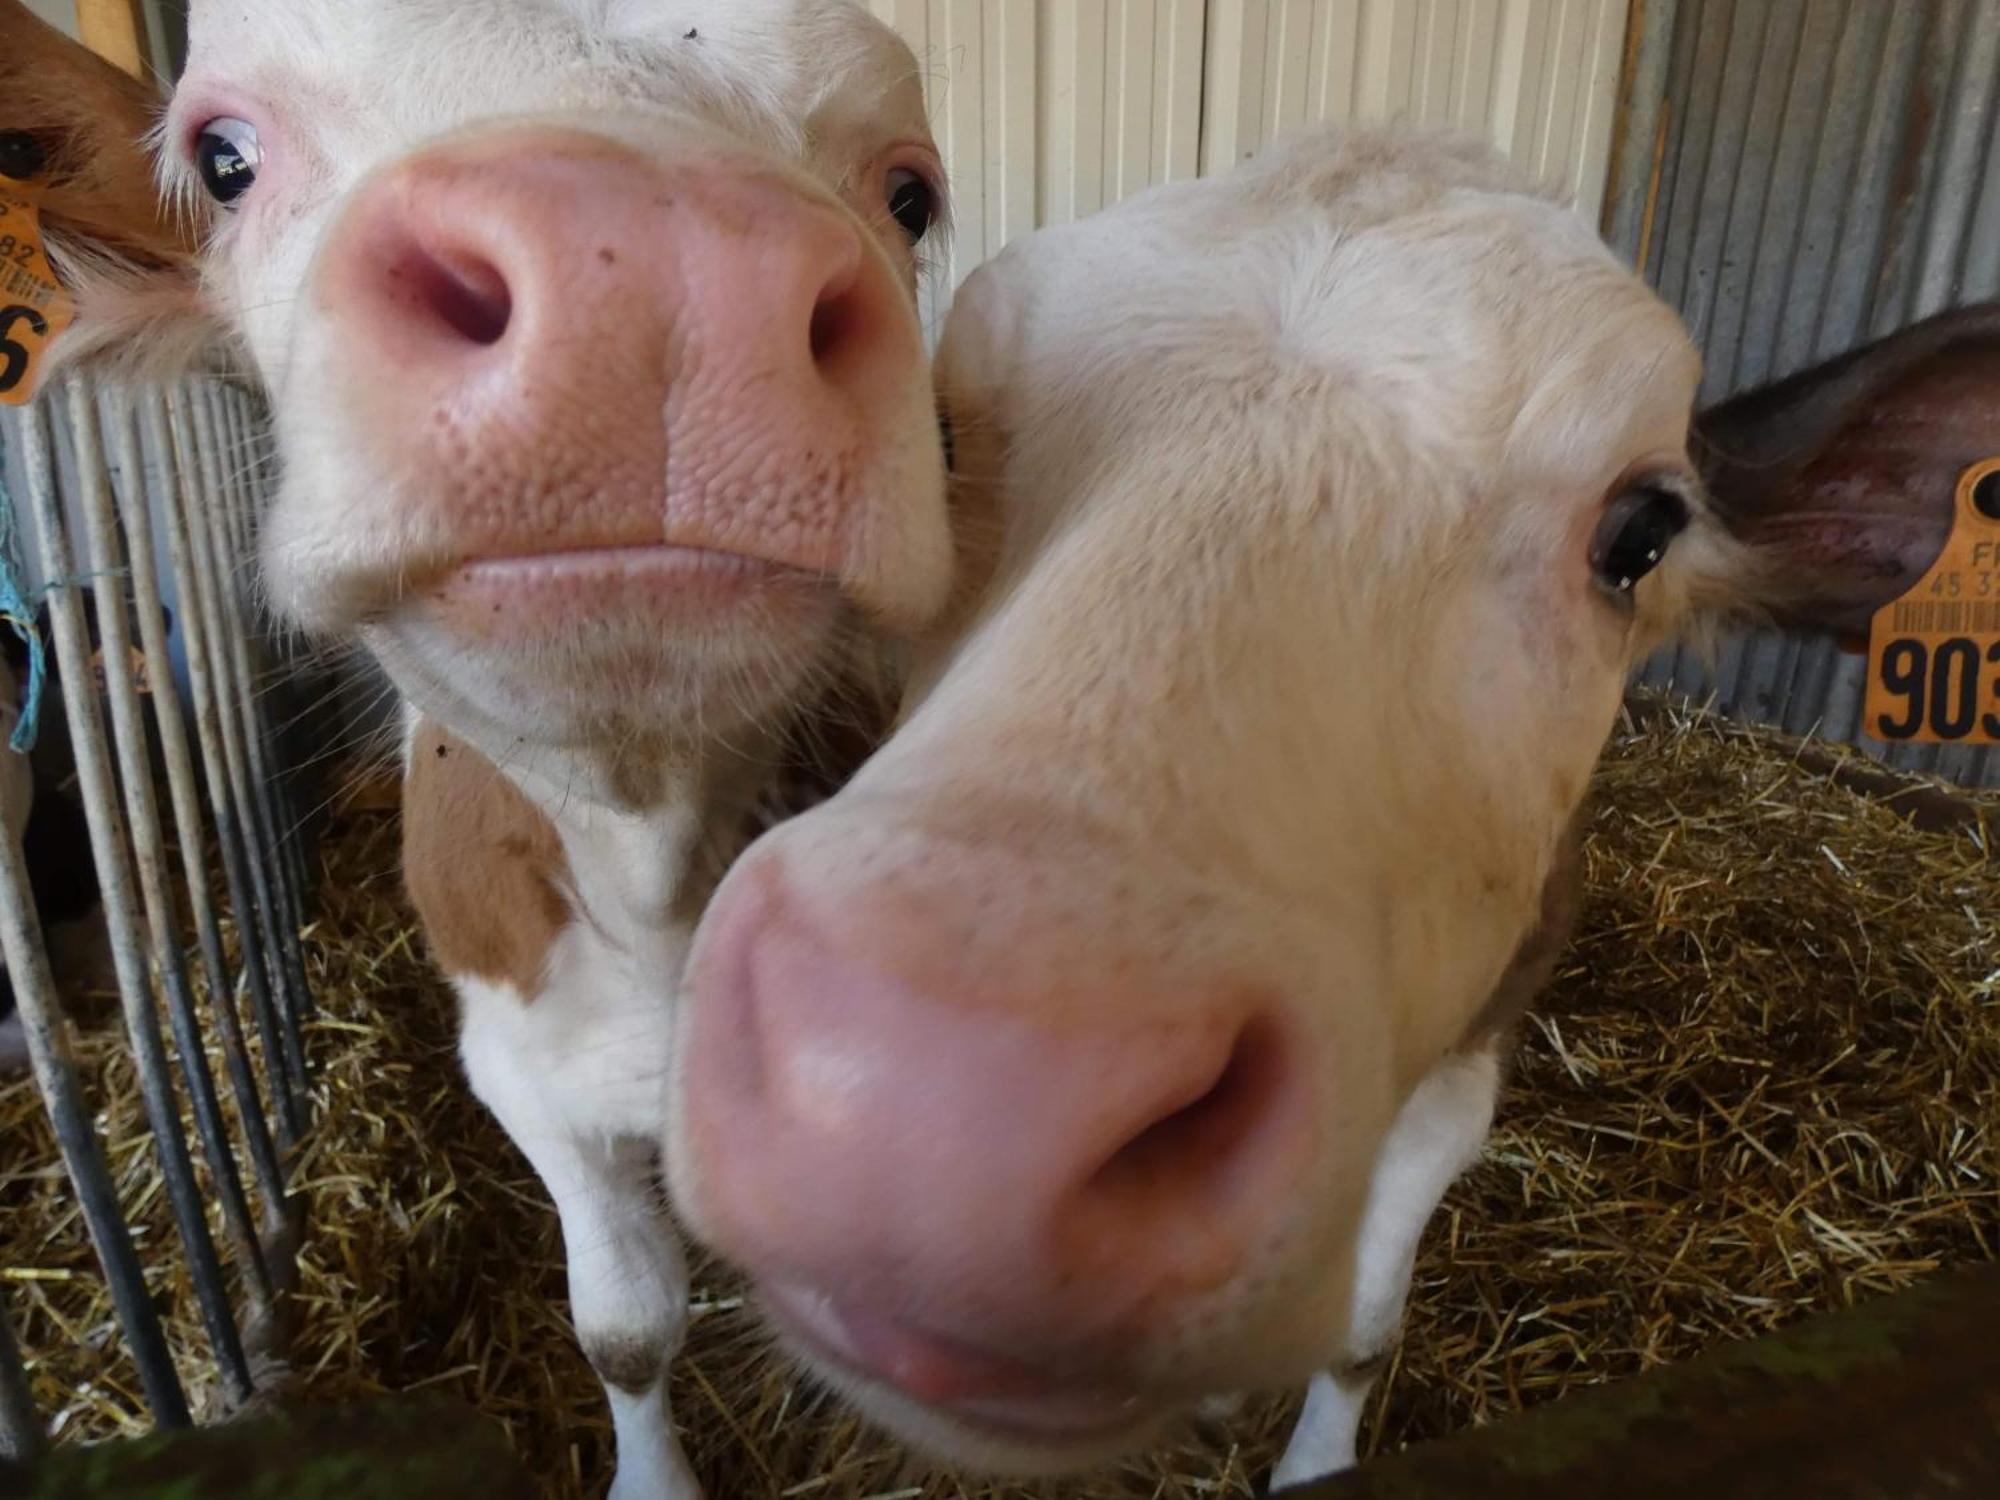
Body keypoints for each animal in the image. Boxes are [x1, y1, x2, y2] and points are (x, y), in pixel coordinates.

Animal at [17, 5, 952, 1496]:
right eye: (224, 160)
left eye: (908, 194)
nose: (653, 265)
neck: (646, 869)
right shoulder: (522, 1071)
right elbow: (626, 1327)